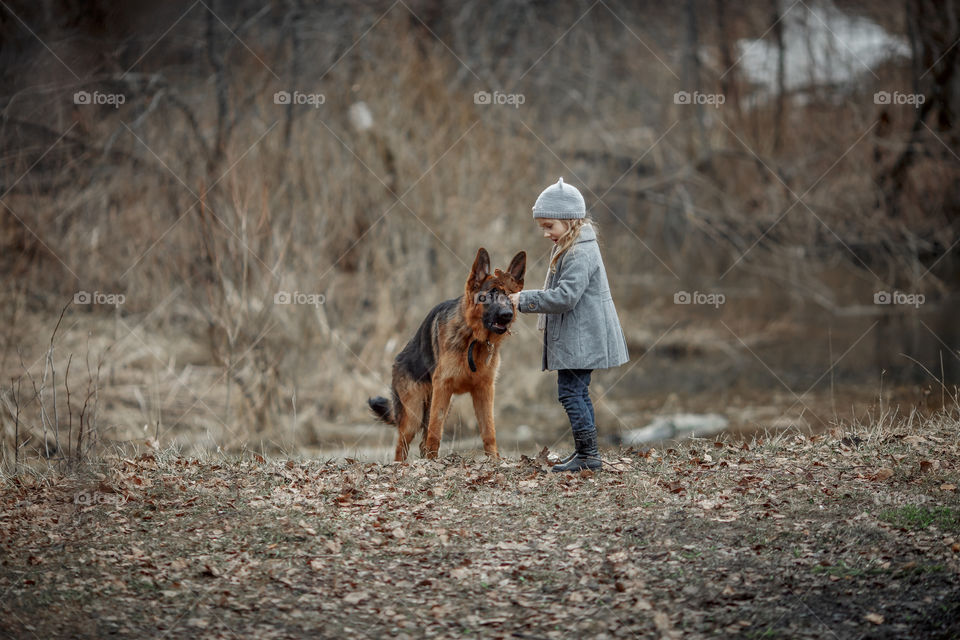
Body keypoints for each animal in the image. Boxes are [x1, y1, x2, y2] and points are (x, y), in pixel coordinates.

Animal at [372, 248, 528, 462]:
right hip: (415, 414)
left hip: (443, 406)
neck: (473, 338)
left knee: (421, 440)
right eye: (489, 295)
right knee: (402, 445)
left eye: (511, 297)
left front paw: (494, 460)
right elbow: (435, 433)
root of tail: (397, 359)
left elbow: (489, 431)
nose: (507, 315)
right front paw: (432, 462)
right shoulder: (443, 388)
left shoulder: (484, 390)